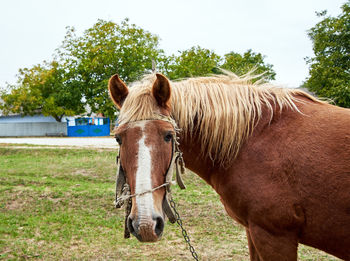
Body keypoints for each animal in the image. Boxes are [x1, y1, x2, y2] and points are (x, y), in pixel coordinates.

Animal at [108, 71, 350, 260]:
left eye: (168, 136)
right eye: (118, 138)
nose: (145, 224)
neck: (251, 140)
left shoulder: (274, 236)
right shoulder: (253, 231)